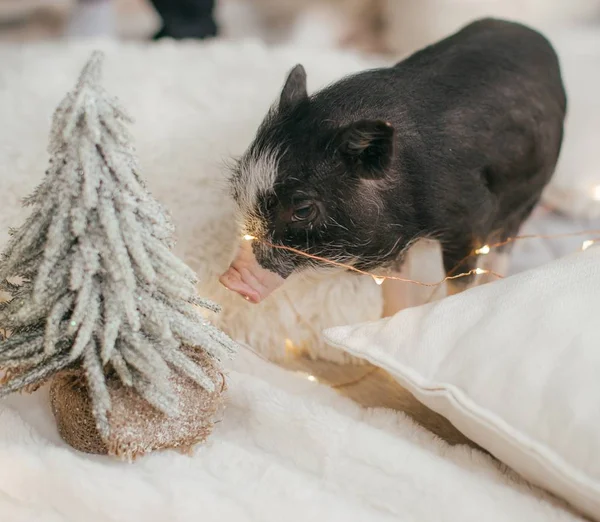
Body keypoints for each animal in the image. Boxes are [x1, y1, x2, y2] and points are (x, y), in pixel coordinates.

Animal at [220, 18, 568, 302]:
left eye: (303, 210)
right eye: (237, 191)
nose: (228, 279)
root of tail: (539, 39)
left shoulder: (470, 219)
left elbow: (459, 280)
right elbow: (396, 286)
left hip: (529, 196)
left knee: (505, 243)